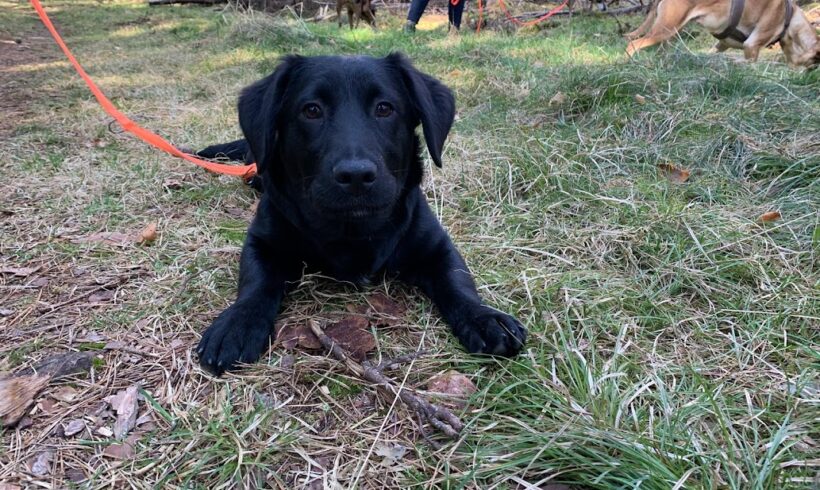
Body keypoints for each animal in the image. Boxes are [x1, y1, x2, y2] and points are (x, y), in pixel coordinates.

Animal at [195, 54, 527, 374]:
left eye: (384, 108)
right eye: (311, 110)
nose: (355, 175)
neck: (352, 229)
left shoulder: (436, 244)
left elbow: (458, 281)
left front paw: (483, 317)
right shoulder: (263, 240)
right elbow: (256, 282)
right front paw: (238, 323)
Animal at [626, 0, 819, 67]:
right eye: (813, 65)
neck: (790, 18)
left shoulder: (721, 45)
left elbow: (713, 53)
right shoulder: (751, 47)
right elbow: (750, 62)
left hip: (670, 30)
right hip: (665, 30)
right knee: (633, 44)